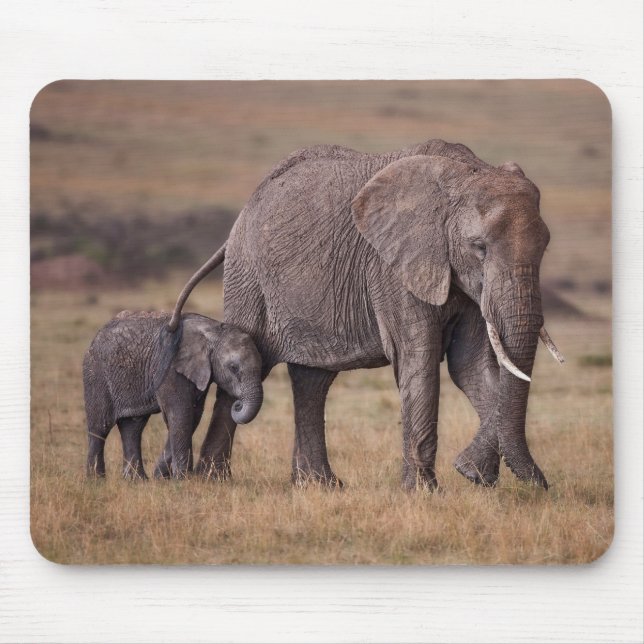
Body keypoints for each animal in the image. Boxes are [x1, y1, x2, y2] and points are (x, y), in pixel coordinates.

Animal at [83, 310, 263, 479]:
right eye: (233, 368)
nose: (237, 404)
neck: (213, 332)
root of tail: (95, 337)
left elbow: (192, 416)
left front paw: (164, 476)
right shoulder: (170, 367)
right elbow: (181, 414)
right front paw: (183, 479)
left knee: (133, 427)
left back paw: (137, 481)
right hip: (96, 374)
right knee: (100, 426)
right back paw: (96, 480)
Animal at [166, 138, 563, 490]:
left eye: (546, 246)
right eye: (479, 247)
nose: (543, 486)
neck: (467, 172)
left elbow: (470, 366)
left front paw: (483, 476)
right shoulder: (392, 268)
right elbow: (419, 359)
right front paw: (424, 492)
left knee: (313, 381)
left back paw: (320, 486)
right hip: (248, 277)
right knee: (248, 360)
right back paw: (214, 480)